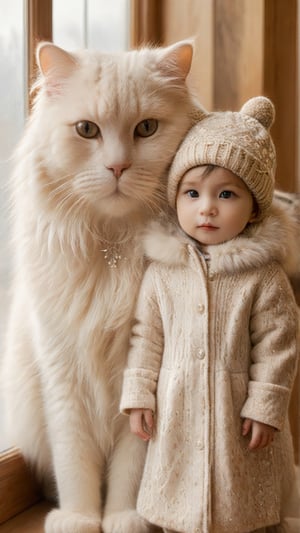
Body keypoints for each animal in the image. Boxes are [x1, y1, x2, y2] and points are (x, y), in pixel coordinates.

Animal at [1, 39, 203, 528]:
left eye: (146, 128)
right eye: (86, 130)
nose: (117, 167)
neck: (113, 250)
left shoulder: (143, 370)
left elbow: (132, 467)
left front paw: (125, 518)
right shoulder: (62, 371)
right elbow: (74, 462)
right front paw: (78, 519)